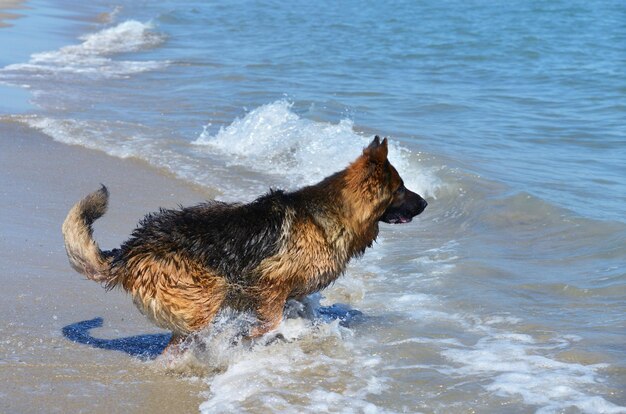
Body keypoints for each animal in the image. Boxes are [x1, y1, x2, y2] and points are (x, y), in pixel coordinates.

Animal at [61, 137, 424, 350]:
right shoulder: (270, 285)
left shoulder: (289, 292)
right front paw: (247, 337)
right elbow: (270, 322)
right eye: (401, 189)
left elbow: (299, 311)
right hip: (207, 290)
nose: (426, 203)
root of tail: (132, 247)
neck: (333, 214)